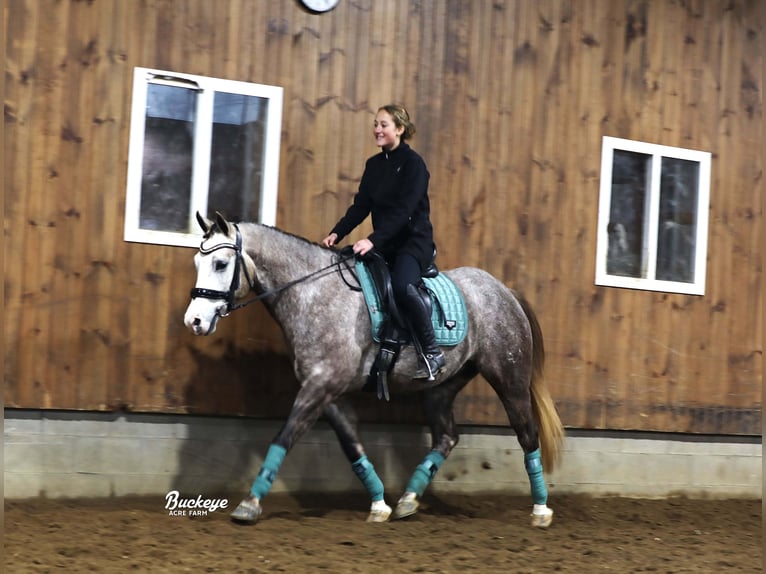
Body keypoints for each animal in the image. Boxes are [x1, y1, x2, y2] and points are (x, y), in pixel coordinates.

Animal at [182, 214, 564, 528]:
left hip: (509, 380)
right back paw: (408, 500)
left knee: (527, 434)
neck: (314, 293)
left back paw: (541, 510)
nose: (194, 321)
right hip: (441, 388)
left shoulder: (319, 388)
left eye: (220, 263)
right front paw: (380, 504)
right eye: (197, 261)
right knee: (446, 437)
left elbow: (283, 437)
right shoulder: (328, 393)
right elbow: (353, 446)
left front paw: (249, 504)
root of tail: (505, 291)